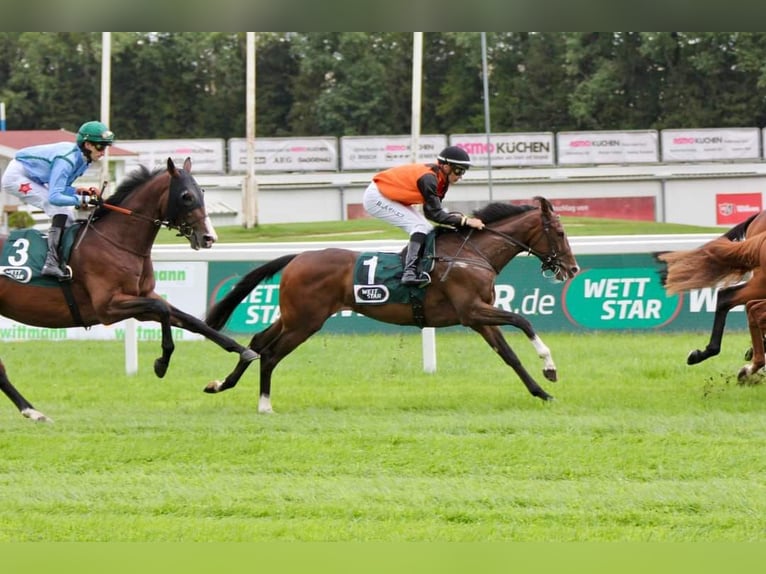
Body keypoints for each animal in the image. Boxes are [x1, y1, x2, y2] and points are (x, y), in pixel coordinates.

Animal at [0, 158, 258, 424]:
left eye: (203, 192)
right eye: (186, 196)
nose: (209, 237)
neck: (116, 242)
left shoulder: (142, 299)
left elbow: (194, 322)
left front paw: (241, 357)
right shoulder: (107, 308)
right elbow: (163, 309)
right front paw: (161, 363)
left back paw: (34, 412)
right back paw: (32, 412)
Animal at [206, 196, 584, 412]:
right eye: (560, 233)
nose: (573, 269)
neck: (473, 255)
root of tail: (298, 257)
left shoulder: (478, 319)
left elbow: (509, 356)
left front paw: (541, 392)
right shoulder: (472, 311)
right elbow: (524, 321)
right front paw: (550, 367)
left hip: (293, 316)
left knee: (256, 343)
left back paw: (220, 384)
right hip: (306, 322)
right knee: (270, 354)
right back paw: (264, 404)